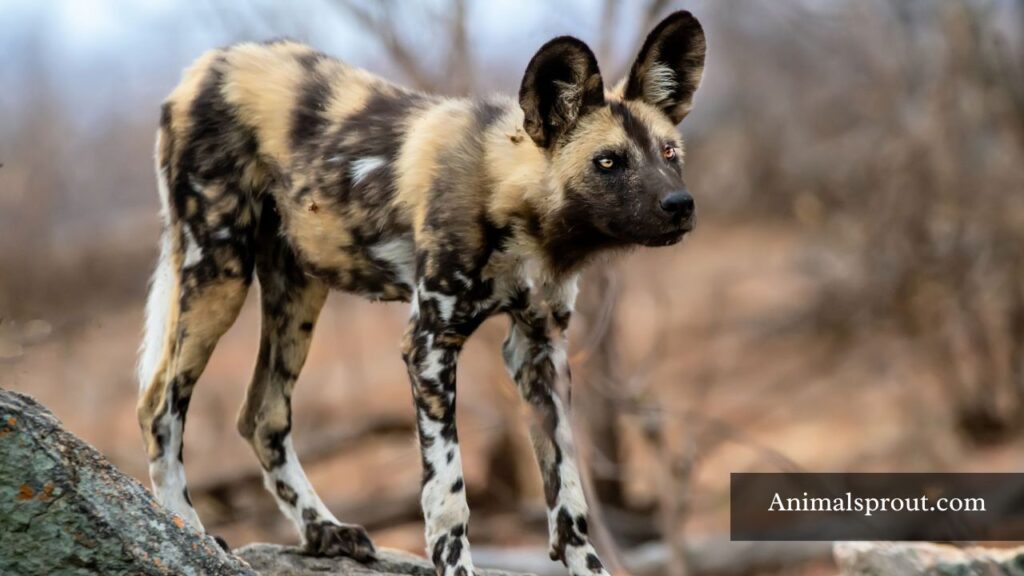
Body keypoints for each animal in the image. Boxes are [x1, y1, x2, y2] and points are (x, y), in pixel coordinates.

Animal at [136, 10, 705, 576]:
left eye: (669, 153)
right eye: (608, 162)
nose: (680, 205)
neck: (511, 202)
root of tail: (207, 64)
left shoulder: (539, 351)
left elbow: (569, 498)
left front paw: (587, 565)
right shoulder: (429, 346)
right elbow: (448, 494)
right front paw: (456, 566)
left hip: (298, 292)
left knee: (263, 415)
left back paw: (324, 530)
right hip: (219, 273)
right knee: (159, 407)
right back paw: (187, 527)